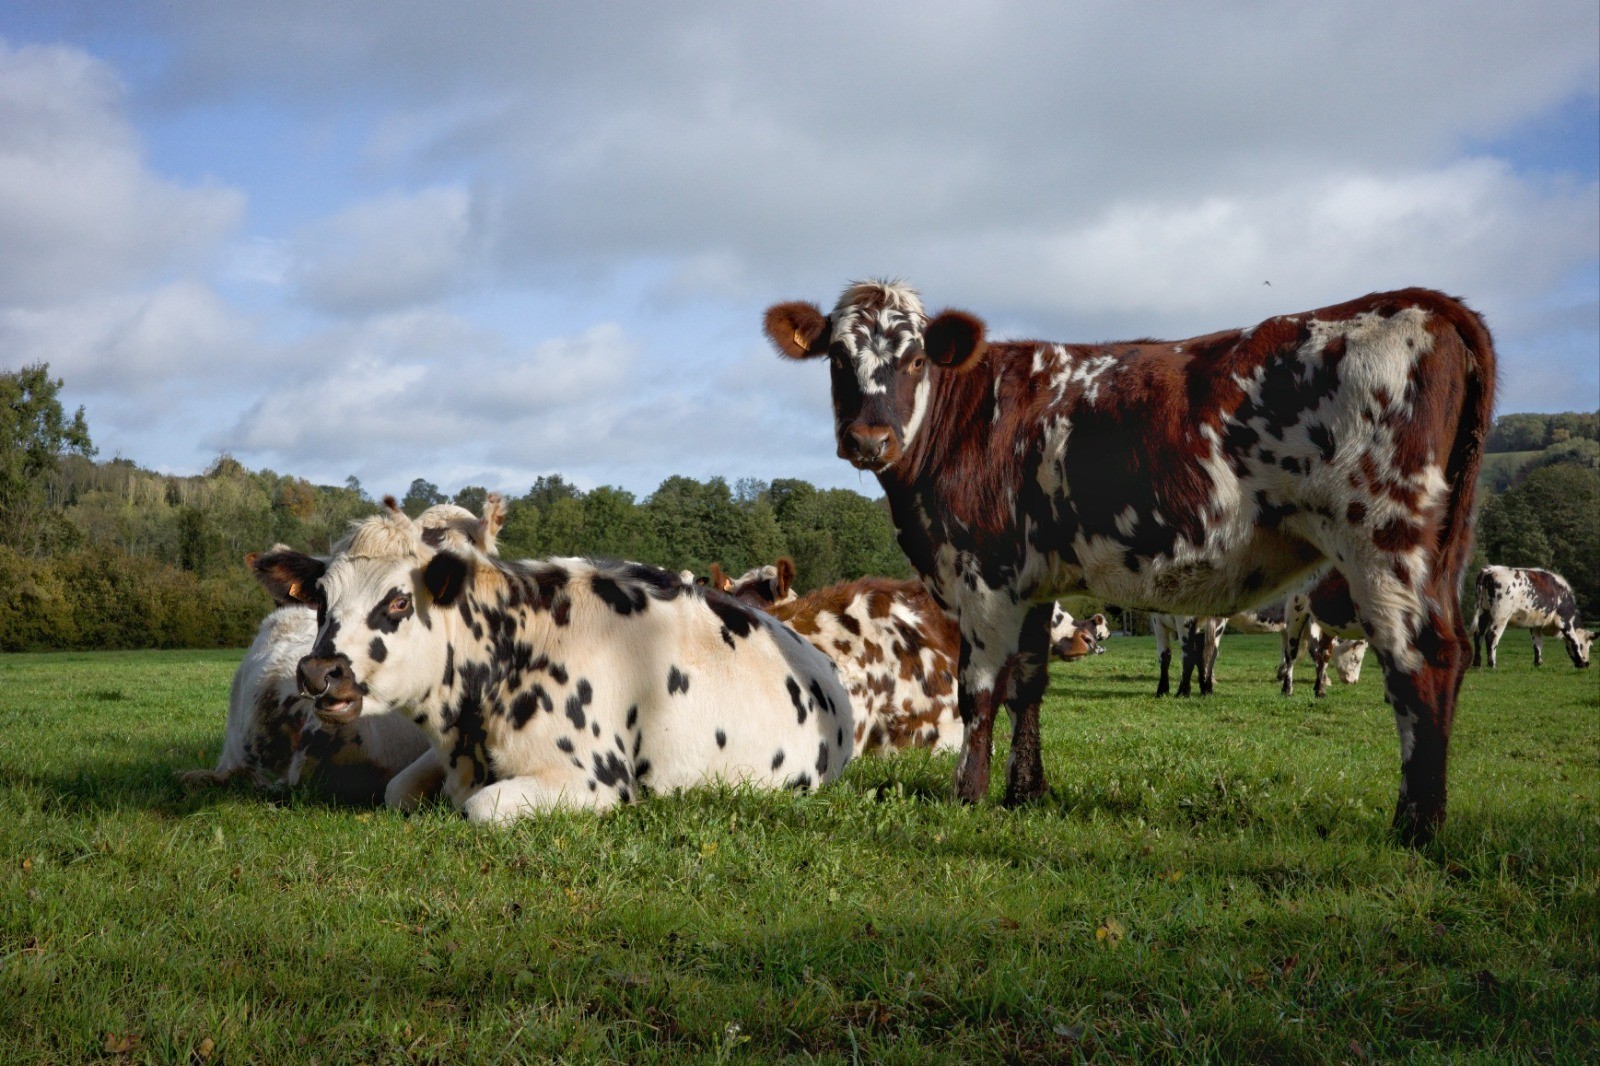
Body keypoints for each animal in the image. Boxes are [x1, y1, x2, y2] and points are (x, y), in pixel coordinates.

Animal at [252, 499, 854, 822]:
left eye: (399, 600)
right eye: (320, 599)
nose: (318, 672)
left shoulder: (593, 781)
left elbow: (480, 808)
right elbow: (396, 790)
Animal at [765, 279, 1494, 844]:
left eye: (916, 358)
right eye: (836, 356)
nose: (868, 438)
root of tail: (1418, 303)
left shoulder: (983, 575)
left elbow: (979, 692)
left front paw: (967, 794)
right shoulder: (1034, 583)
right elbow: (1029, 687)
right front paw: (1027, 792)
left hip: (1384, 537)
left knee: (1420, 661)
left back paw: (1415, 828)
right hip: (1435, 548)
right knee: (1450, 655)